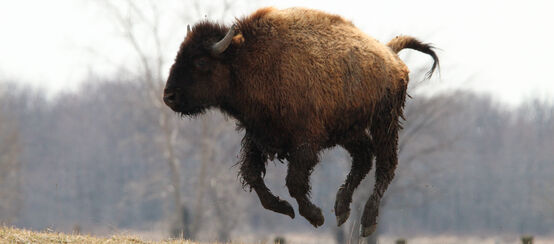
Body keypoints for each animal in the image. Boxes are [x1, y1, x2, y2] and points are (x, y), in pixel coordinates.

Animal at [162, 7, 438, 236]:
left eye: (200, 61)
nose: (169, 96)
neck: (247, 59)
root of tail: (390, 54)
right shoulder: (258, 135)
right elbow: (252, 174)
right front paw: (285, 208)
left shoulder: (305, 142)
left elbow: (294, 181)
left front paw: (314, 216)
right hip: (349, 131)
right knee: (363, 157)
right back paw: (341, 210)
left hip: (386, 121)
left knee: (385, 166)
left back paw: (367, 222)